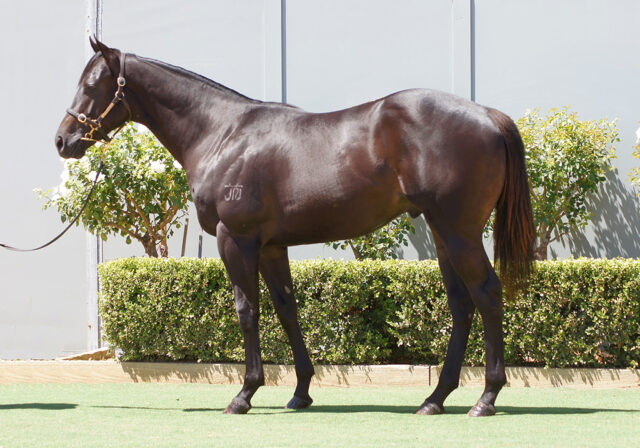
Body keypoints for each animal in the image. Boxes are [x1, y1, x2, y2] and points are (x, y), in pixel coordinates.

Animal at [56, 38, 536, 416]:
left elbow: (247, 311)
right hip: (442, 232)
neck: (223, 133)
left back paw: (486, 398)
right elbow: (287, 309)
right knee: (461, 304)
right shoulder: (271, 246)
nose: (63, 140)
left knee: (487, 295)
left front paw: (244, 394)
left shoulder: (237, 239)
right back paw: (435, 398)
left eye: (92, 85)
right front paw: (301, 392)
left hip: (459, 231)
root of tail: (487, 115)